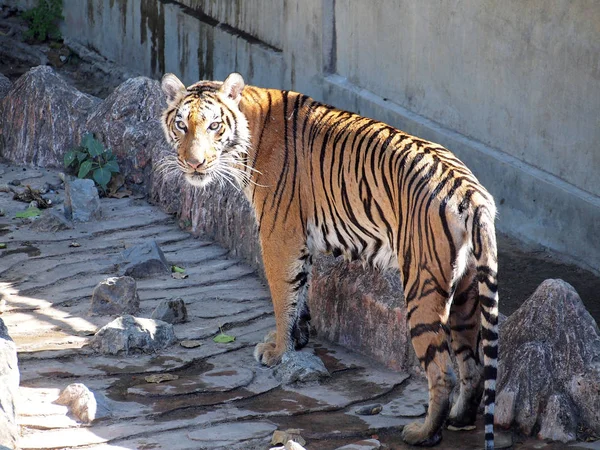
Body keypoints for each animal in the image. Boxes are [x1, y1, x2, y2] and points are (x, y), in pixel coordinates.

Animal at [158, 72, 496, 448]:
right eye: (181, 125)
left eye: (214, 126)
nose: (194, 164)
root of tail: (469, 190)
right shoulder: (299, 242)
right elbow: (300, 294)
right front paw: (298, 338)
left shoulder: (278, 237)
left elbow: (283, 298)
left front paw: (278, 351)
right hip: (466, 291)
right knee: (473, 367)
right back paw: (459, 419)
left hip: (423, 288)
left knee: (443, 371)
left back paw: (422, 432)